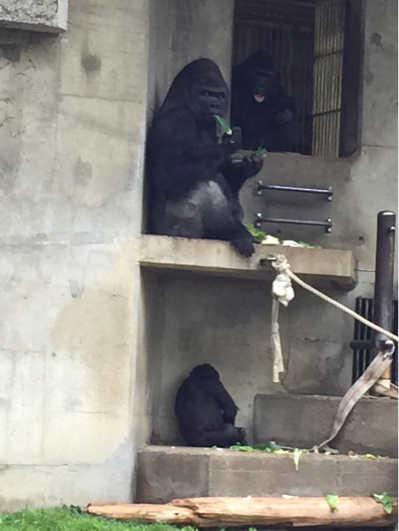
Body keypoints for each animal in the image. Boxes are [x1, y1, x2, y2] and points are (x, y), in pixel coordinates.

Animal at [145, 58, 264, 258]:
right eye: (206, 93)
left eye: (220, 95)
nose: (214, 105)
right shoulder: (176, 120)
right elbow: (169, 177)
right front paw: (230, 144)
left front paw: (247, 168)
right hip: (177, 232)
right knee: (205, 187)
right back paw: (232, 232)